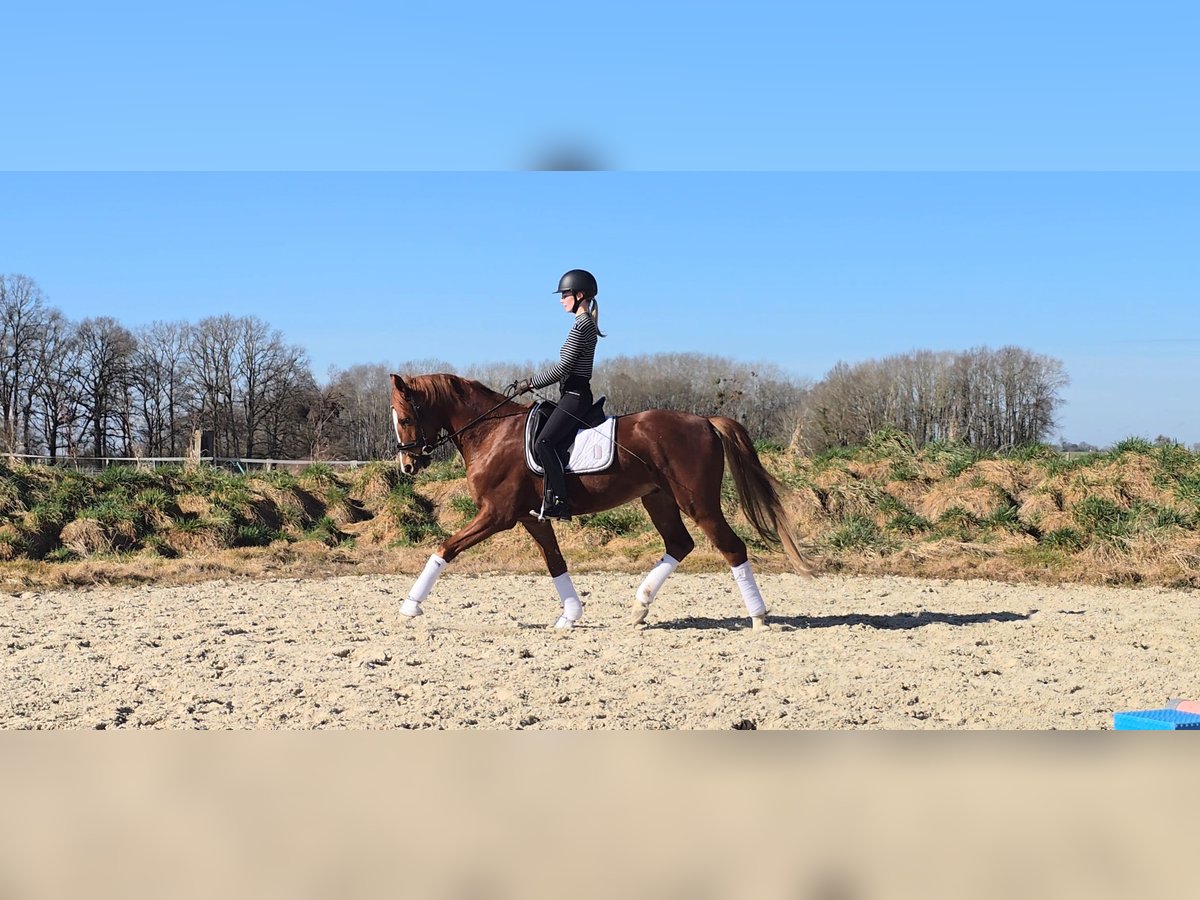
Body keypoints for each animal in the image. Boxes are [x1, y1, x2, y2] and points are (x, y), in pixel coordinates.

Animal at [388, 372, 811, 628]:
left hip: (698, 503)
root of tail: (705, 421)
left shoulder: (497, 515)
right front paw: (571, 616)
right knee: (679, 544)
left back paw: (758, 617)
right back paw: (640, 607)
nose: (408, 465)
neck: (491, 433)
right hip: (658, 499)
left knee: (731, 546)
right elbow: (555, 562)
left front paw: (409, 607)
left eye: (405, 418)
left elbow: (445, 548)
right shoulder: (528, 516)